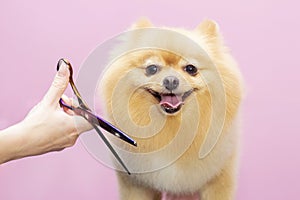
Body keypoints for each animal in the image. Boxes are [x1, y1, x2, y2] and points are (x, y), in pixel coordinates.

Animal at [98, 18, 244, 200]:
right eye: (152, 68)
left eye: (191, 69)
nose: (171, 81)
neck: (172, 128)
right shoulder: (137, 183)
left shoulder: (218, 179)